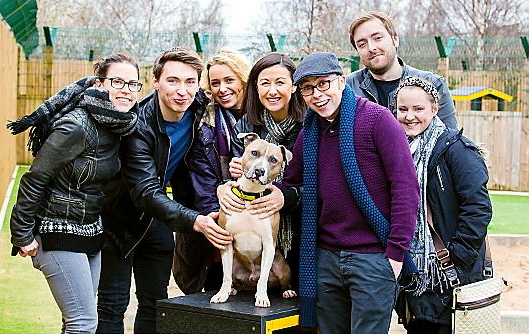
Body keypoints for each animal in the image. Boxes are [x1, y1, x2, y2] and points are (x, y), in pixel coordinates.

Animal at [212, 133, 300, 308]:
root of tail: (250, 279)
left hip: (281, 265)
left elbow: (263, 278)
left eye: (273, 160)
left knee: (278, 281)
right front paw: (222, 294)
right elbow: (226, 276)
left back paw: (288, 291)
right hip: (234, 263)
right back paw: (232, 289)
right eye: (254, 153)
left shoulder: (268, 244)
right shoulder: (226, 241)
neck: (250, 195)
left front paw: (262, 298)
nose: (259, 170)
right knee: (234, 278)